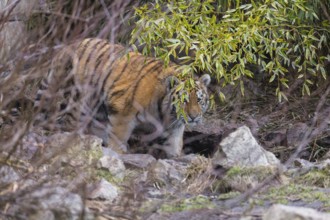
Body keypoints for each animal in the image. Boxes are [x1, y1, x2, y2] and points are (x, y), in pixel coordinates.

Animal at [38, 38, 209, 158]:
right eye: (184, 101)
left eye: (199, 100)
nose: (193, 117)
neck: (166, 112)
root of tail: (68, 46)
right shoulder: (122, 112)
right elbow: (119, 137)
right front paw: (118, 153)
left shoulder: (175, 126)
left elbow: (174, 143)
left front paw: (175, 157)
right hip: (79, 102)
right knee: (69, 123)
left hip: (98, 108)